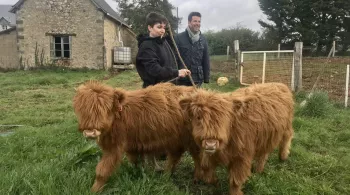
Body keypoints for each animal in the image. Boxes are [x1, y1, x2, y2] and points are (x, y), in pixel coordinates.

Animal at [72, 81, 201, 193]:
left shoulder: (114, 147)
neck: (119, 115)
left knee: (192, 157)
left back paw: (187, 177)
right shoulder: (132, 144)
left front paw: (94, 189)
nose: (90, 132)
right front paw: (138, 171)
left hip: (188, 140)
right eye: (82, 110)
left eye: (105, 109)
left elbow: (102, 170)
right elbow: (135, 160)